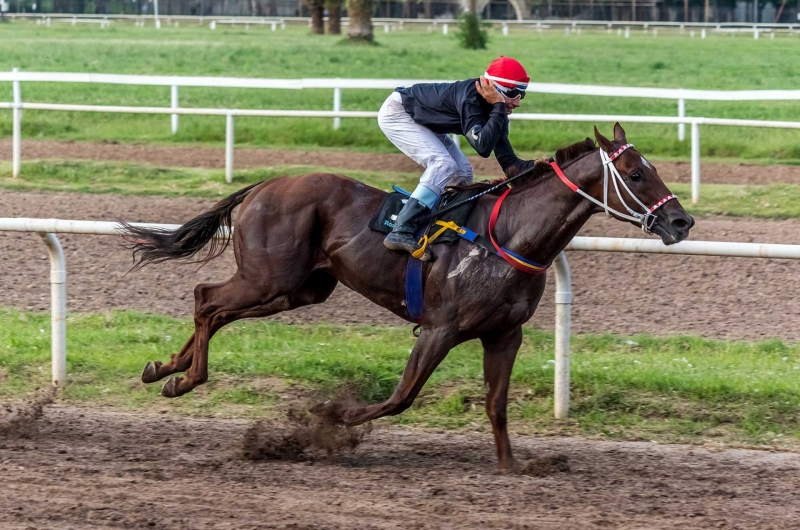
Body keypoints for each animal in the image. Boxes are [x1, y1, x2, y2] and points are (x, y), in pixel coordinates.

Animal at [120, 125, 692, 470]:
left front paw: (513, 465)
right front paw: (329, 422)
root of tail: (265, 185)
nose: (681, 221)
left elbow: (497, 404)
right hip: (269, 278)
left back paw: (164, 370)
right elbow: (402, 397)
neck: (510, 235)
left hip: (299, 290)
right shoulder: (440, 328)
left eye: (654, 169)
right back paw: (184, 378)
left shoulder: (504, 334)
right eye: (636, 173)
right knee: (207, 298)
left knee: (214, 308)